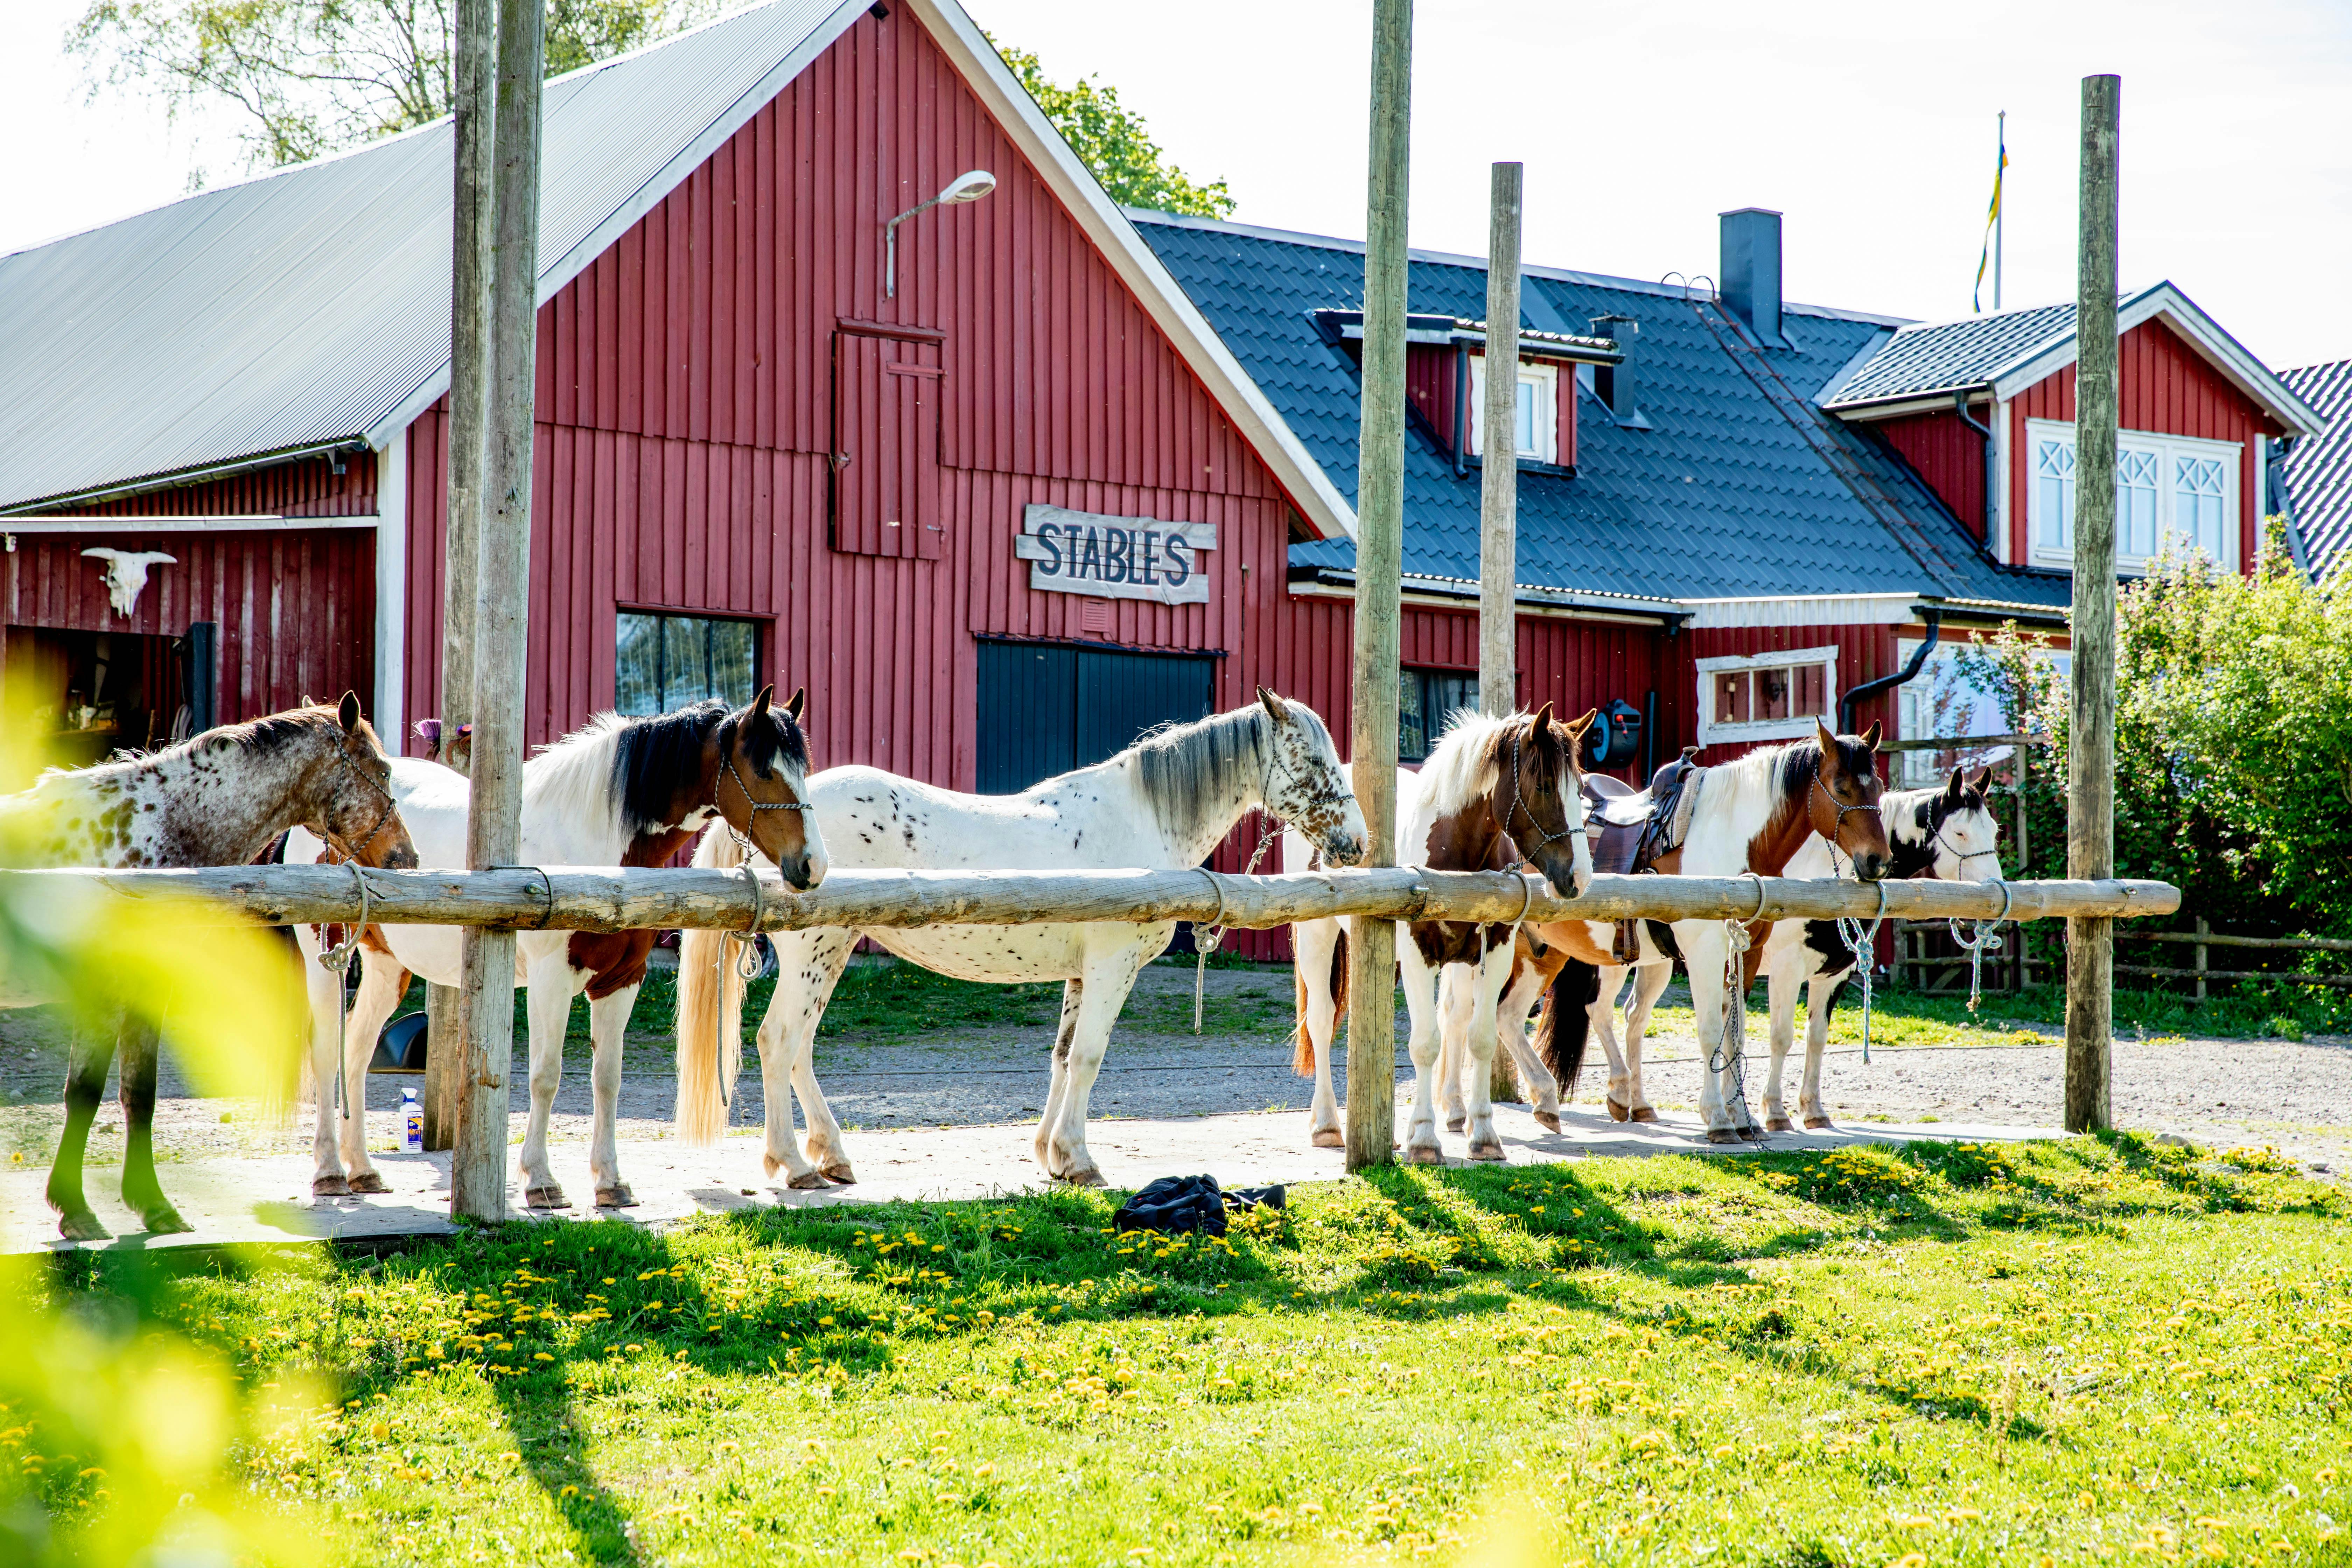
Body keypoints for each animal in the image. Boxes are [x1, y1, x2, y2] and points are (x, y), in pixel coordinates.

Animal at [0, 696, 419, 1241]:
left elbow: (140, 1094)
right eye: (384, 770)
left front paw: (153, 1206)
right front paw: (77, 1212)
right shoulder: (104, 992)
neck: (158, 835)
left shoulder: (146, 990)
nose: (405, 857)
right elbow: (86, 1094)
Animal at [672, 691, 1373, 1189]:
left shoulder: (1082, 973)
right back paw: (793, 1165)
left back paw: (832, 1156)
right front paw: (1079, 1160)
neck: (1138, 822)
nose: (1357, 843)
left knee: (801, 1050)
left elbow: (1063, 1058)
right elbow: (1089, 1057)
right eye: (1313, 760)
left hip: (832, 953)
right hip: (816, 954)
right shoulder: (1114, 968)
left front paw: (1050, 1156)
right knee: (777, 1041)